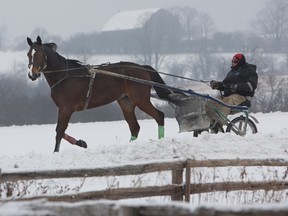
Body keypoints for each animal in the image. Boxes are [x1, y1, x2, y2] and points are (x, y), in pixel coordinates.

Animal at [26, 36, 171, 152]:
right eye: (29, 54)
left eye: (39, 54)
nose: (32, 74)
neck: (65, 76)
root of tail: (142, 68)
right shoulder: (63, 109)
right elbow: (59, 131)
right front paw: (81, 143)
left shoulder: (66, 109)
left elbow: (59, 132)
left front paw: (56, 152)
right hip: (125, 101)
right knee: (134, 126)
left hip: (141, 100)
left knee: (159, 116)